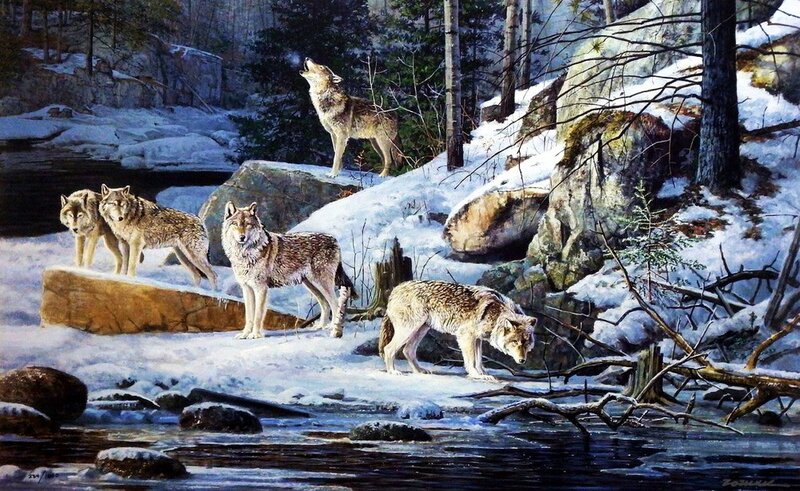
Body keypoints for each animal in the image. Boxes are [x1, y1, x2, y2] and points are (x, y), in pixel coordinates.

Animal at [222, 201, 356, 339]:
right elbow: (249, 315)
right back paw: (320, 326)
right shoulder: (247, 288)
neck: (245, 254)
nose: (242, 237)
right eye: (235, 224)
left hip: (322, 283)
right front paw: (245, 334)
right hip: (312, 285)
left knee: (335, 303)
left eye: (248, 224)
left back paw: (333, 329)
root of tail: (334, 240)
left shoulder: (261, 288)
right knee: (325, 304)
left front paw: (255, 335)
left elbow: (258, 315)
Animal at [379, 280, 537, 380]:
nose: (522, 360)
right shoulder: (465, 336)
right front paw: (476, 375)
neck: (496, 315)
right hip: (409, 330)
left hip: (421, 330)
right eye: (515, 342)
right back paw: (393, 372)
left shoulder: (477, 339)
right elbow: (471, 361)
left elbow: (479, 360)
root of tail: (395, 290)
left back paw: (419, 371)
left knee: (408, 350)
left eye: (526, 343)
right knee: (389, 349)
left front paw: (483, 374)